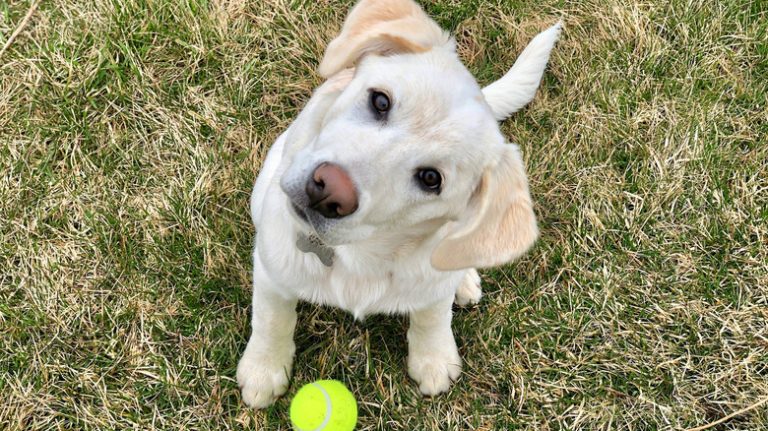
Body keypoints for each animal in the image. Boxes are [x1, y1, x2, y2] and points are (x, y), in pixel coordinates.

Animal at [234, 0, 560, 408]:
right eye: (380, 101)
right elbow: (272, 319)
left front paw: (434, 360)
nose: (328, 191)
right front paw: (263, 370)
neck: (361, 256)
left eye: (431, 179)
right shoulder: (272, 270)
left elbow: (432, 317)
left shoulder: (432, 287)